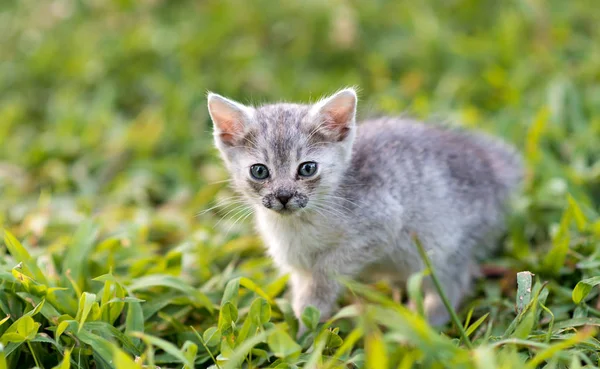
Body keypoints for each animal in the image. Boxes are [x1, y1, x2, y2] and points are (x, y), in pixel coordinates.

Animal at [206, 88, 520, 328]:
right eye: (259, 171)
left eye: (307, 168)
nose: (283, 196)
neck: (298, 225)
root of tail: (494, 167)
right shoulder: (296, 264)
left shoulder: (382, 222)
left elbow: (327, 271)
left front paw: (310, 324)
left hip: (443, 249)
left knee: (451, 285)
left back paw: (425, 322)